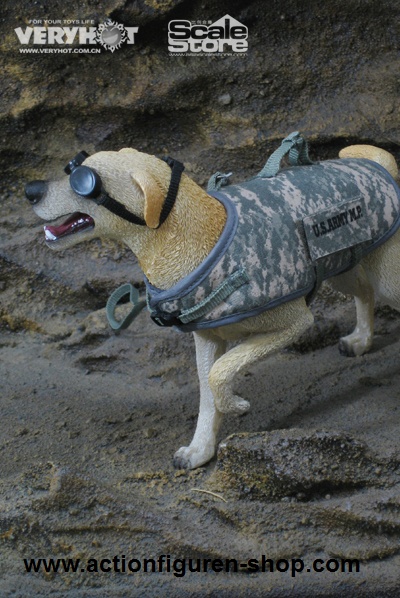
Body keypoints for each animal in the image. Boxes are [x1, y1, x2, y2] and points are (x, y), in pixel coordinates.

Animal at [26, 144, 398, 468]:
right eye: (74, 168)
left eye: (84, 182)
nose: (30, 190)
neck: (201, 243)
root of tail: (377, 161)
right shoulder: (206, 339)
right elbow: (207, 390)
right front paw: (200, 449)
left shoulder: (295, 322)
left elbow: (221, 373)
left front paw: (236, 404)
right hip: (341, 267)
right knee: (365, 291)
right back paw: (361, 339)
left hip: (385, 275)